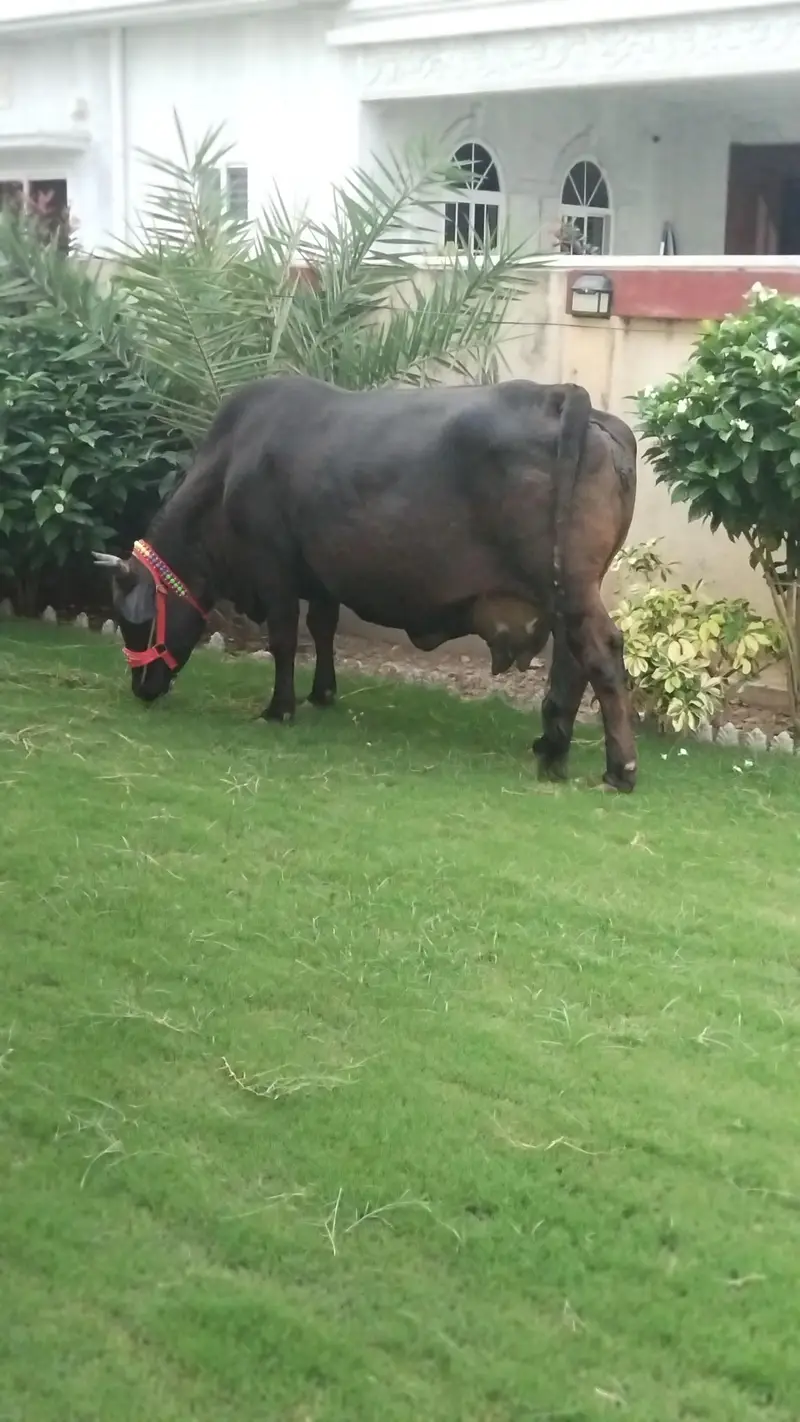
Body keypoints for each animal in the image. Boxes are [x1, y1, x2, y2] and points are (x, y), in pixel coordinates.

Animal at [94, 373, 638, 791]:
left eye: (134, 621)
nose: (141, 687)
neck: (229, 467)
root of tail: (558, 395)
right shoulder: (320, 577)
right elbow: (324, 627)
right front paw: (322, 693)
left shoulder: (274, 570)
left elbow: (285, 639)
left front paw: (280, 707)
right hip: (567, 592)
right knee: (572, 663)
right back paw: (552, 748)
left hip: (570, 589)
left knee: (602, 653)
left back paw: (619, 769)